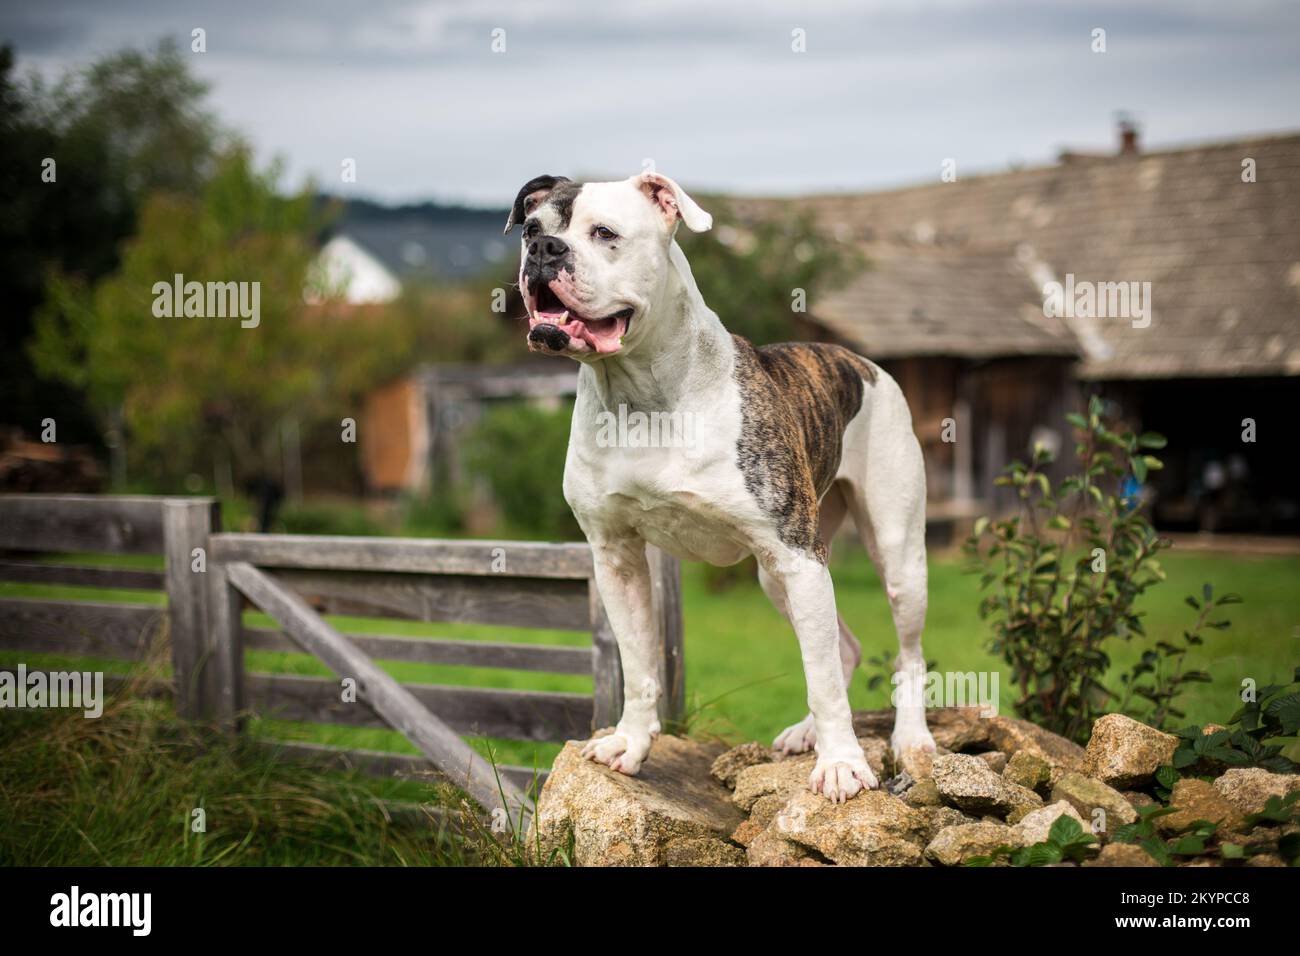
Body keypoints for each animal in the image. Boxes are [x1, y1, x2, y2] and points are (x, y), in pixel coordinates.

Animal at [504, 171, 935, 801]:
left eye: (604, 233)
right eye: (531, 229)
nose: (543, 251)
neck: (642, 392)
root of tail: (862, 363)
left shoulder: (797, 555)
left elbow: (822, 679)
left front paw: (840, 765)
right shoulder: (617, 557)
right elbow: (639, 664)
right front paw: (630, 743)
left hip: (892, 555)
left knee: (904, 652)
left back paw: (910, 738)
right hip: (779, 576)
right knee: (843, 648)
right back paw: (806, 733)